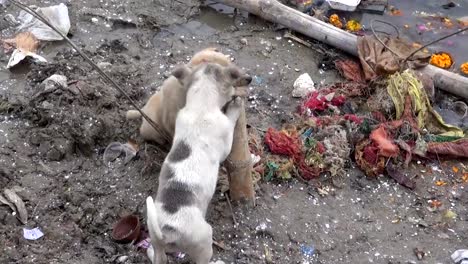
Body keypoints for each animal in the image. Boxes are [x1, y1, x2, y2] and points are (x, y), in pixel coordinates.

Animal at [144, 62, 243, 264]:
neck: (201, 105)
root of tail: (167, 232)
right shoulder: (226, 135)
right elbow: (231, 119)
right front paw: (236, 105)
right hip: (204, 241)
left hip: (156, 239)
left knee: (158, 256)